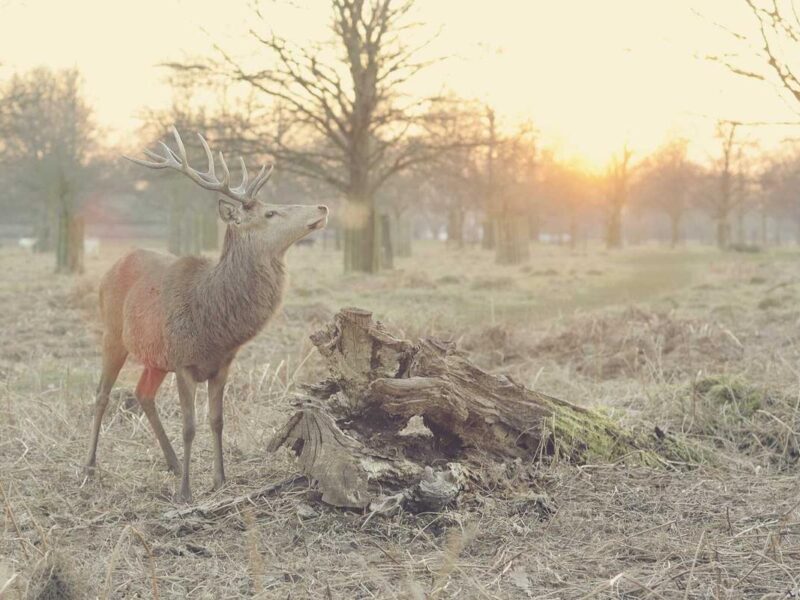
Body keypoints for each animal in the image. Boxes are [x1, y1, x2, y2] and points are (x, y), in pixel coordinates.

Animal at [84, 126, 328, 502]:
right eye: (270, 214)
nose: (322, 205)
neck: (213, 323)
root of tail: (113, 265)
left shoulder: (222, 364)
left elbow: (217, 420)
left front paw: (220, 480)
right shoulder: (183, 361)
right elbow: (189, 425)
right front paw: (186, 491)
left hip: (156, 357)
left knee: (143, 393)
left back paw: (171, 462)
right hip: (112, 333)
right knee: (101, 394)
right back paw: (90, 466)